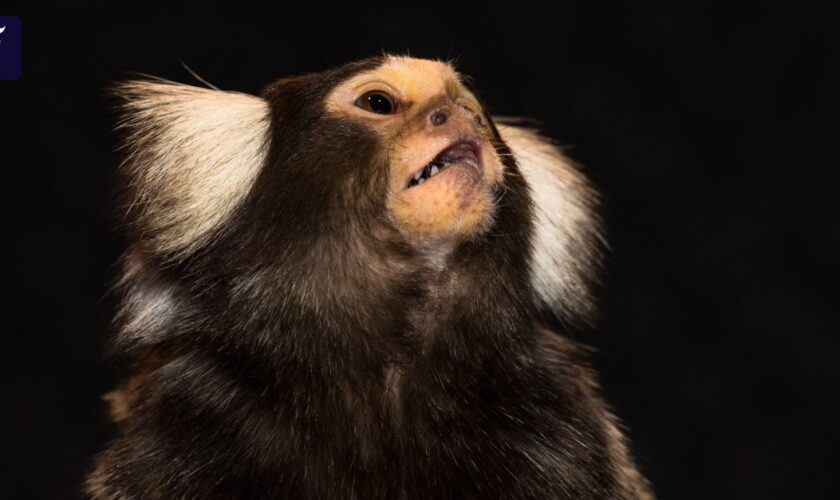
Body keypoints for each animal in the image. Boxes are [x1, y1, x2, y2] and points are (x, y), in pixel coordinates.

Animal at [88, 55, 656, 500]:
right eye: (379, 103)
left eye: (475, 112)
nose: (458, 118)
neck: (386, 381)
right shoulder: (182, 424)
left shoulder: (565, 428)